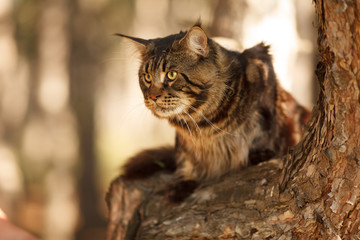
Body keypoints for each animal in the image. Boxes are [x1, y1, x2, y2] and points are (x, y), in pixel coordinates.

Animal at [117, 23, 310, 202]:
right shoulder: (184, 140)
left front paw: (258, 154)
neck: (204, 122)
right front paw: (182, 179)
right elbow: (184, 157)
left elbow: (264, 133)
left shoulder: (261, 66)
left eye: (171, 75)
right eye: (147, 77)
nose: (153, 96)